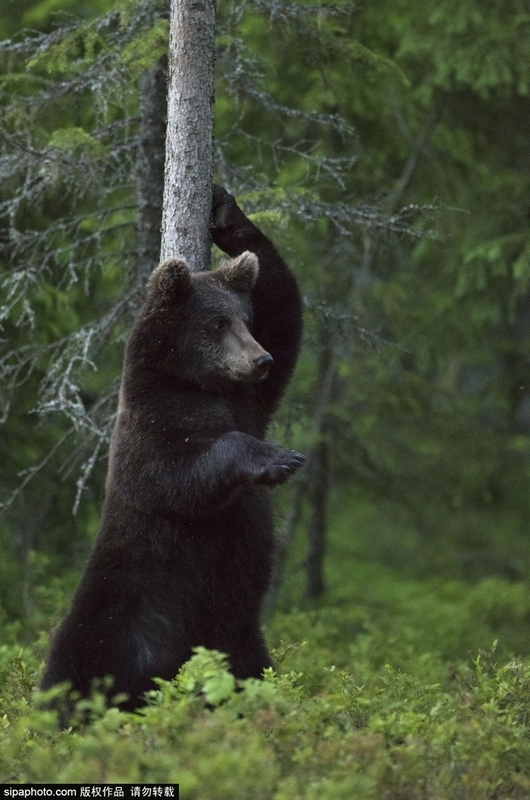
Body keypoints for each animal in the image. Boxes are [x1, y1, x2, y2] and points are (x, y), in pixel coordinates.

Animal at [40, 184, 306, 708]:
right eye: (217, 323)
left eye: (245, 320)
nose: (259, 359)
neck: (197, 384)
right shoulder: (149, 428)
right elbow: (178, 478)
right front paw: (279, 458)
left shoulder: (252, 399)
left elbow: (285, 308)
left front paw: (227, 212)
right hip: (118, 605)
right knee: (73, 662)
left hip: (237, 635)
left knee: (253, 670)